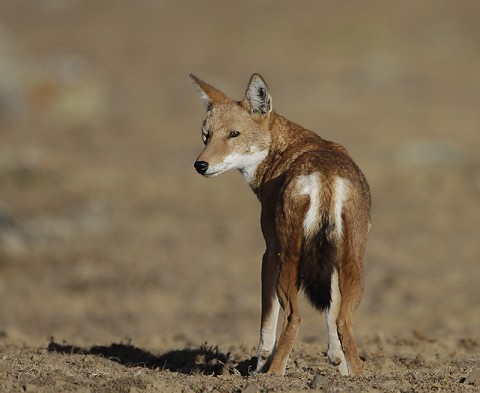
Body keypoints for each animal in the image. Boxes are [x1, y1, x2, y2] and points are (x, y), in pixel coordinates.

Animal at [190, 72, 372, 376]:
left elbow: (266, 323)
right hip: (353, 264)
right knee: (343, 321)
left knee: (294, 318)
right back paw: (358, 377)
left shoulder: (269, 253)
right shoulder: (332, 263)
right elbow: (332, 322)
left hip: (289, 261)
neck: (284, 150)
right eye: (206, 136)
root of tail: (325, 174)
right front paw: (339, 367)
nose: (200, 165)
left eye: (233, 134)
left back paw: (273, 375)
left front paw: (258, 368)